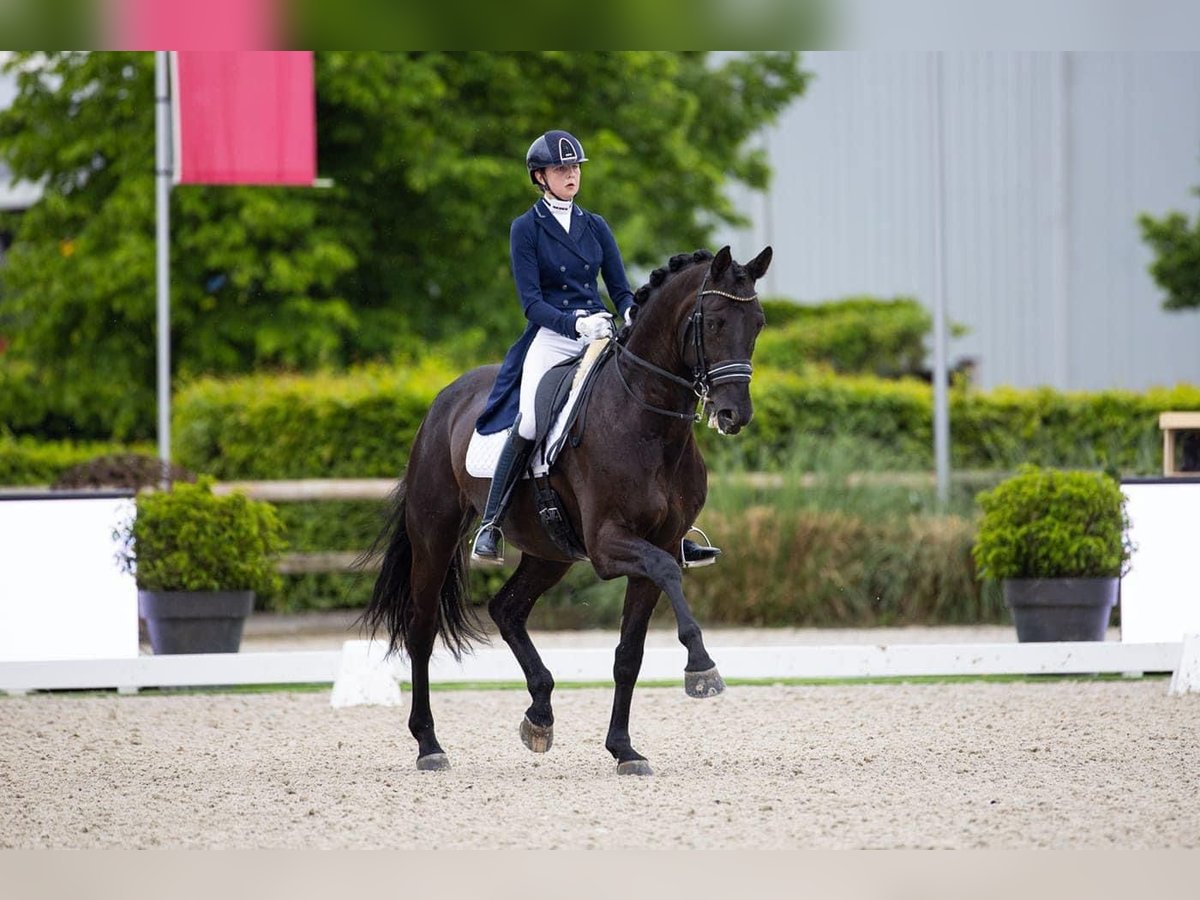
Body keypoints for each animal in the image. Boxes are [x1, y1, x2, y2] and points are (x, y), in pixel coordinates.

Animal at [362, 244, 768, 777]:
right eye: (716, 321)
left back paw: (540, 714)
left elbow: (629, 654)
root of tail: (443, 400)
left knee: (506, 609)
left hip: (548, 551)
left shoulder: (655, 544)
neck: (647, 422)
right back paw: (429, 744)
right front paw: (701, 668)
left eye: (758, 323)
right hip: (436, 535)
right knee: (421, 629)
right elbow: (666, 572)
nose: (733, 415)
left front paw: (624, 749)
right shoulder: (610, 545)